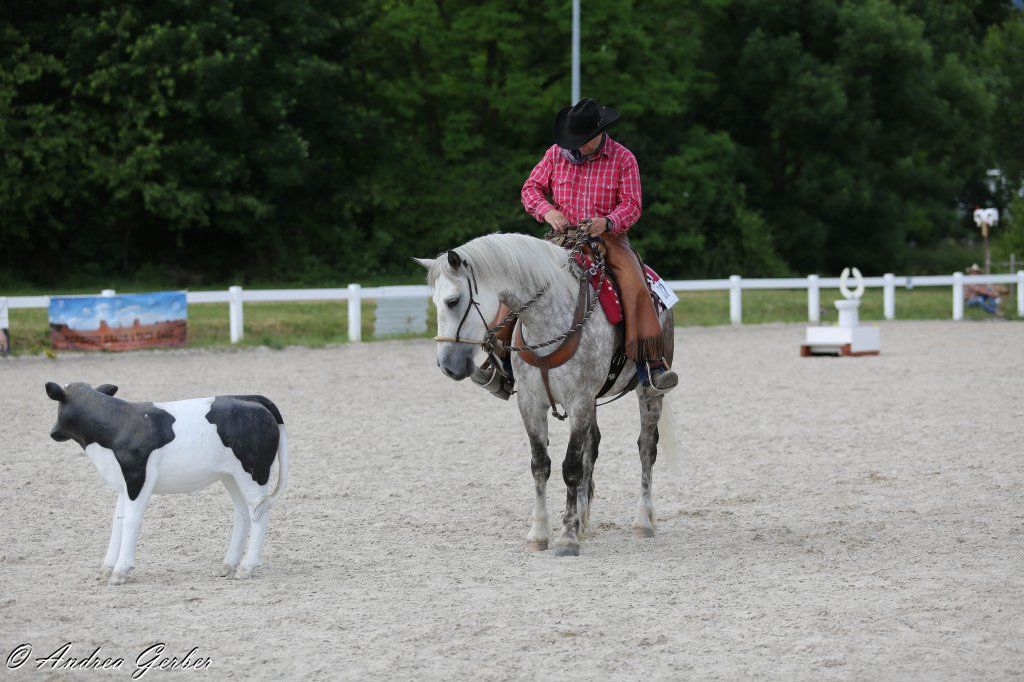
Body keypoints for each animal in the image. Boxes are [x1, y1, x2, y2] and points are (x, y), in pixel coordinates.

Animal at [415, 232, 678, 556]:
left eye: (453, 301)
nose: (447, 366)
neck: (548, 324)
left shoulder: (579, 401)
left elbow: (571, 468)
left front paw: (566, 539)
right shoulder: (531, 404)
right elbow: (541, 466)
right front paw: (540, 533)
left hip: (647, 393)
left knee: (646, 448)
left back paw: (643, 520)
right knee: (592, 447)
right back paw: (582, 520)